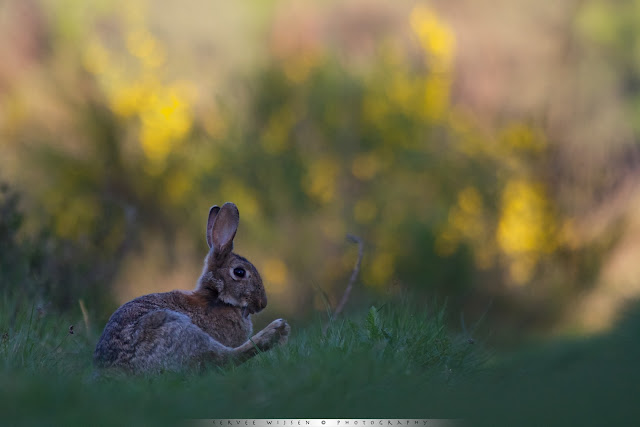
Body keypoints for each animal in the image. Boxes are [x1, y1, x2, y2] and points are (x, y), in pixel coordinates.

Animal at [93, 202, 290, 372]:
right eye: (240, 272)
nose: (262, 303)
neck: (216, 296)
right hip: (177, 330)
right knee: (224, 358)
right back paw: (276, 330)